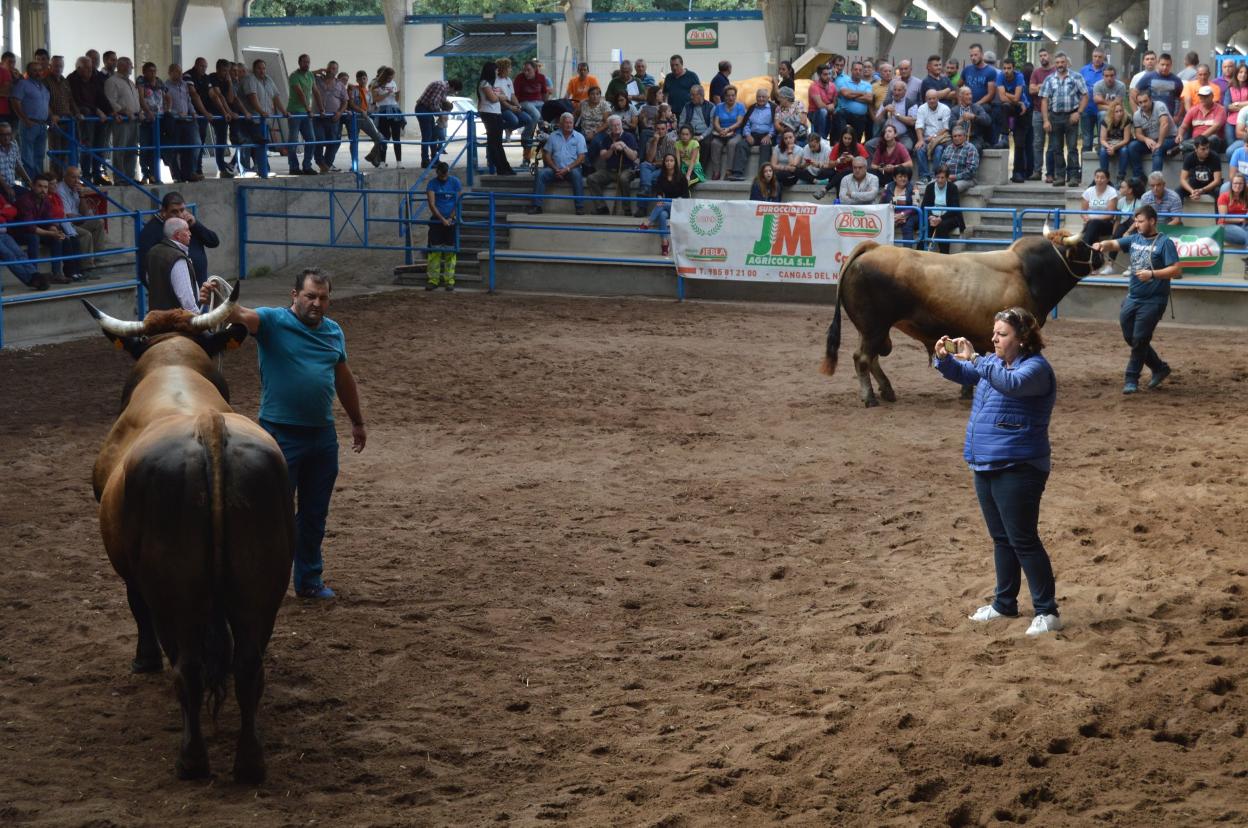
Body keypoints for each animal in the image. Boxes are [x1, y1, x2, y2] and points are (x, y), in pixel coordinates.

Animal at [85, 287, 294, 784]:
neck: (173, 366)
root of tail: (208, 428)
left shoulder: (134, 574)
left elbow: (136, 608)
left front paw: (143, 660)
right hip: (262, 587)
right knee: (249, 667)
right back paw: (249, 763)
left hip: (175, 592)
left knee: (189, 668)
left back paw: (192, 760)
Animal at [818, 227, 1103, 407]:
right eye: (1081, 245)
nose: (1100, 253)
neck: (1028, 272)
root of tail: (872, 247)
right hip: (874, 327)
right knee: (863, 358)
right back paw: (870, 397)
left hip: (872, 329)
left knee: (872, 358)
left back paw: (887, 390)